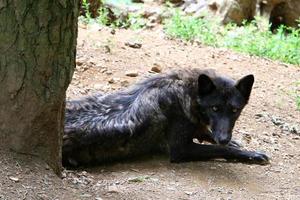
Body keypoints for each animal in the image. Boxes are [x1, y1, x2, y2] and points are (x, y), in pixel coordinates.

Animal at [62, 68, 270, 166]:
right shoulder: (180, 150)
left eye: (235, 110)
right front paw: (249, 154)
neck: (188, 94)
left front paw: (234, 143)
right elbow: (221, 149)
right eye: (215, 108)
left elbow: (207, 134)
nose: (224, 138)